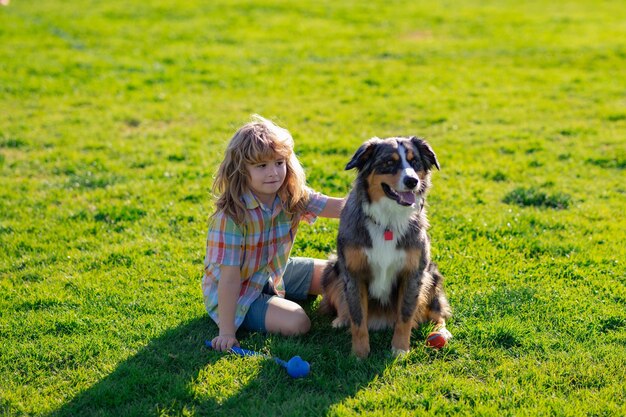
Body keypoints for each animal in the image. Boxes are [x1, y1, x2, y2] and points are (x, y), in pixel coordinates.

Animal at [320, 136, 450, 358]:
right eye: (389, 162)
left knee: (437, 312)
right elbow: (358, 318)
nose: (412, 181)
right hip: (331, 268)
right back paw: (341, 319)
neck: (388, 220)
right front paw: (360, 354)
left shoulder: (414, 272)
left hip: (431, 274)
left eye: (415, 162)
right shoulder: (353, 273)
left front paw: (400, 349)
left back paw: (441, 332)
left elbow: (405, 315)